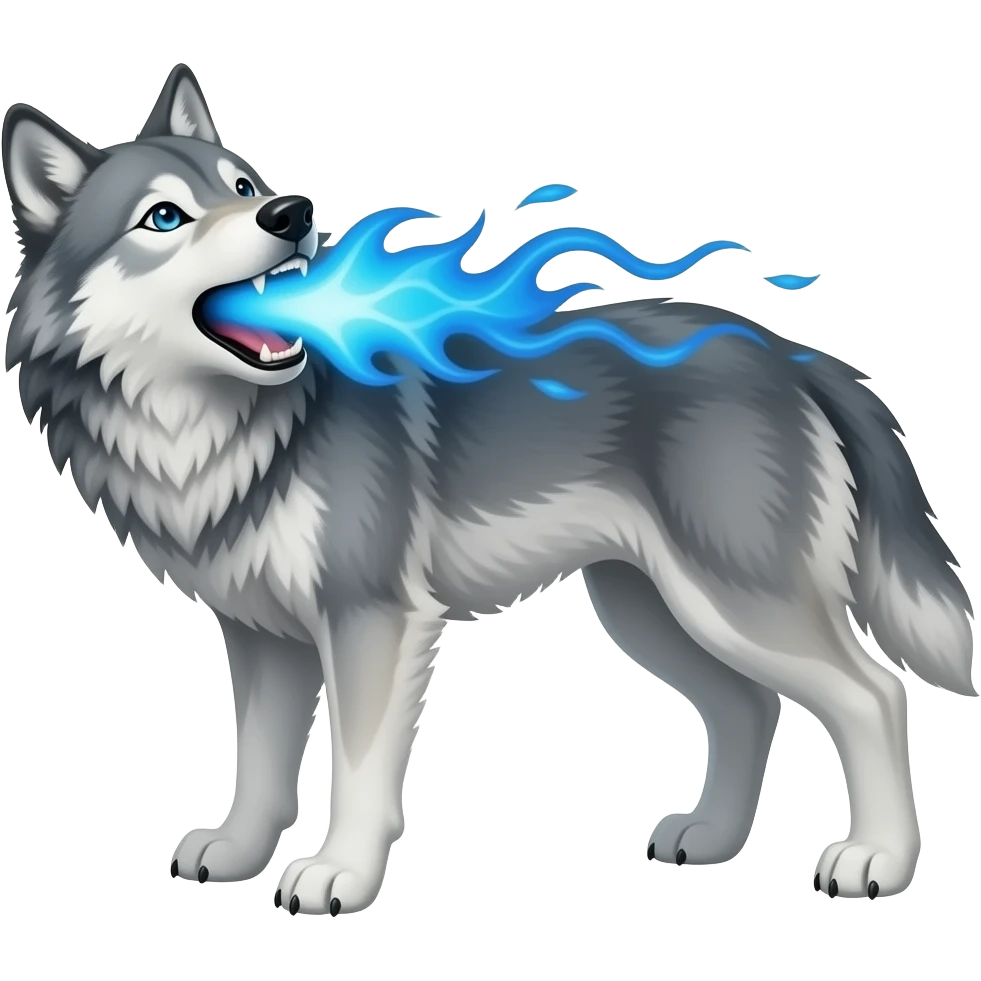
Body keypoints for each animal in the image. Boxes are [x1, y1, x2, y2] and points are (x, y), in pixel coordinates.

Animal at [2, 64, 975, 915]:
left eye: (244, 183)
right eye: (165, 215)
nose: (292, 213)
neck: (225, 430)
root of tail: (794, 353)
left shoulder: (374, 619)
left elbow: (357, 767)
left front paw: (337, 875)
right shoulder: (262, 636)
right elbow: (260, 767)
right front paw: (240, 853)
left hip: (732, 601)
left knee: (874, 693)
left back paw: (877, 860)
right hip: (653, 610)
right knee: (750, 703)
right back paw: (710, 838)